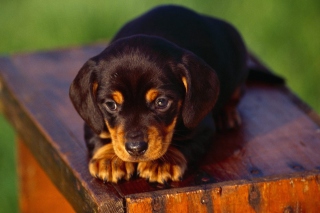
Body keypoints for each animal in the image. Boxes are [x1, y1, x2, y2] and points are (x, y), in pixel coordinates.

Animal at [70, 5, 249, 184]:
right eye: (111, 105)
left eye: (161, 102)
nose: (136, 148)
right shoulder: (93, 118)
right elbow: (99, 134)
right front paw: (110, 159)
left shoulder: (202, 126)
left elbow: (185, 140)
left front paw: (162, 162)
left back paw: (226, 115)